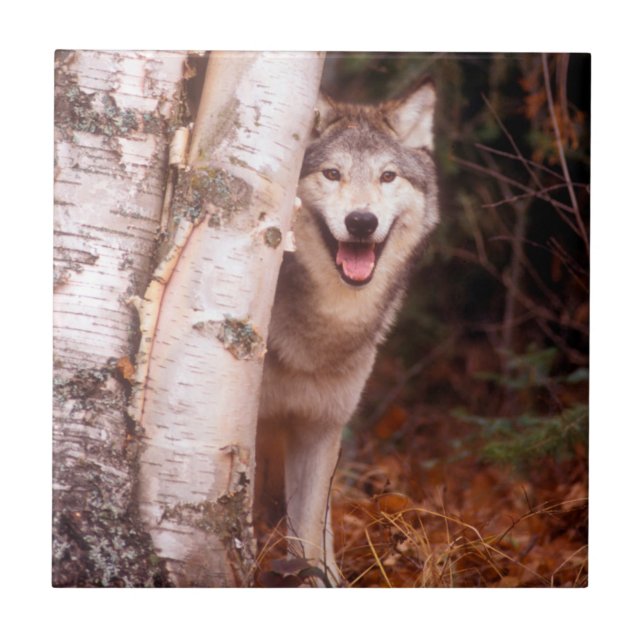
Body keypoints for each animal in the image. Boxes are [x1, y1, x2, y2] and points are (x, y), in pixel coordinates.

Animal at [256, 77, 439, 586]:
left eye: (388, 177)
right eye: (332, 174)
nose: (361, 221)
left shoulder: (321, 427)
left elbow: (310, 530)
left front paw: (319, 578)